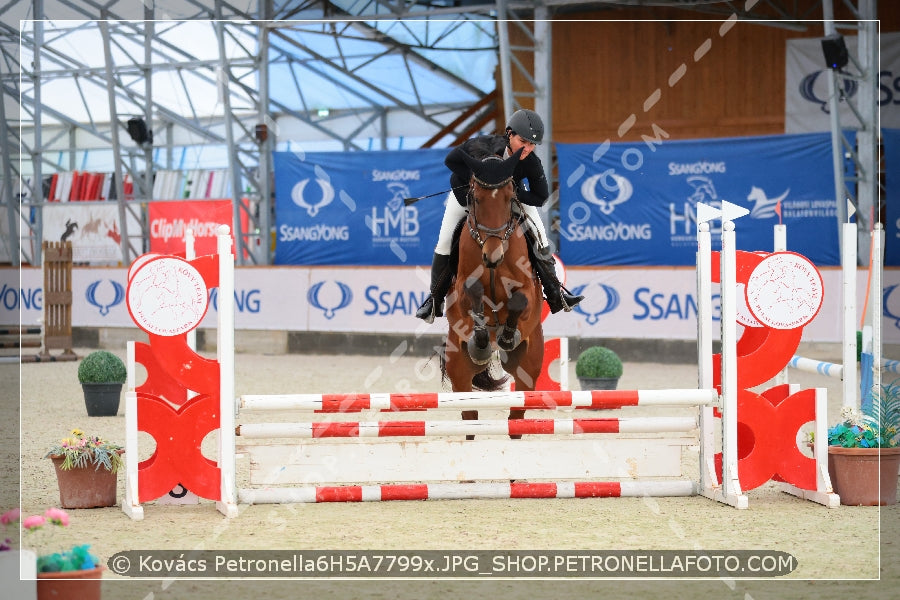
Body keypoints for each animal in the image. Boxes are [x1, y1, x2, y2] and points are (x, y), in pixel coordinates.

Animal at [442, 145, 544, 436]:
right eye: (476, 199)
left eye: (510, 198)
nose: (492, 256)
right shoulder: (460, 293)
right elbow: (473, 290)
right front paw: (481, 341)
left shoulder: (529, 291)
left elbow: (519, 300)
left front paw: (507, 336)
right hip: (459, 369)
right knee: (470, 415)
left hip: (528, 367)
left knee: (517, 414)